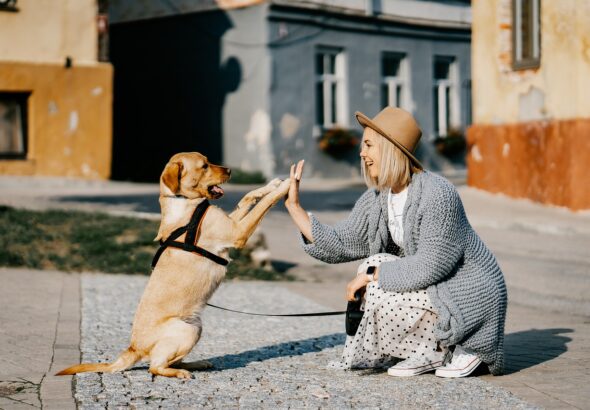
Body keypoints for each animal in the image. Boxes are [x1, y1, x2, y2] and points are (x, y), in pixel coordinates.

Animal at [56, 152, 292, 380]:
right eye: (204, 166)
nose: (230, 170)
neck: (184, 202)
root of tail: (133, 348)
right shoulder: (237, 232)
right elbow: (264, 204)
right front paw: (286, 186)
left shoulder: (232, 223)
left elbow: (248, 197)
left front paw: (271, 184)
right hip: (186, 330)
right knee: (155, 367)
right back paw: (180, 372)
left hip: (196, 327)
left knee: (169, 361)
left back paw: (197, 364)